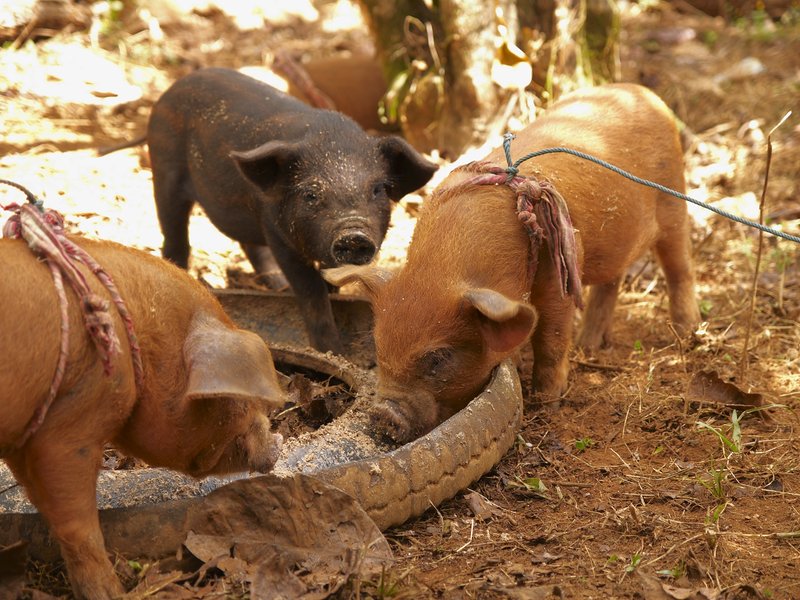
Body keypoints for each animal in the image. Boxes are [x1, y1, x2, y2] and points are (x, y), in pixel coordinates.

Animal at [0, 235, 285, 599]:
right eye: (236, 402)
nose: (277, 445)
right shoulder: (69, 432)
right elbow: (78, 523)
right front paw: (113, 592)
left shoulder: (27, 436)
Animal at [146, 67, 437, 355]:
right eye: (311, 194)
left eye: (378, 190)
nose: (353, 233)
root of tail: (170, 90)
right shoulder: (276, 232)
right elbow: (311, 290)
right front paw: (333, 353)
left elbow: (329, 285)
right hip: (164, 170)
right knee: (175, 235)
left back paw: (277, 286)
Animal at [325, 83, 701, 442]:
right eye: (378, 345)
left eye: (439, 358)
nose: (382, 414)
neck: (446, 262)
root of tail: (646, 94)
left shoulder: (561, 263)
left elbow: (550, 338)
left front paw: (547, 404)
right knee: (612, 281)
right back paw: (589, 344)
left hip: (673, 201)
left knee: (679, 267)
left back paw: (688, 332)